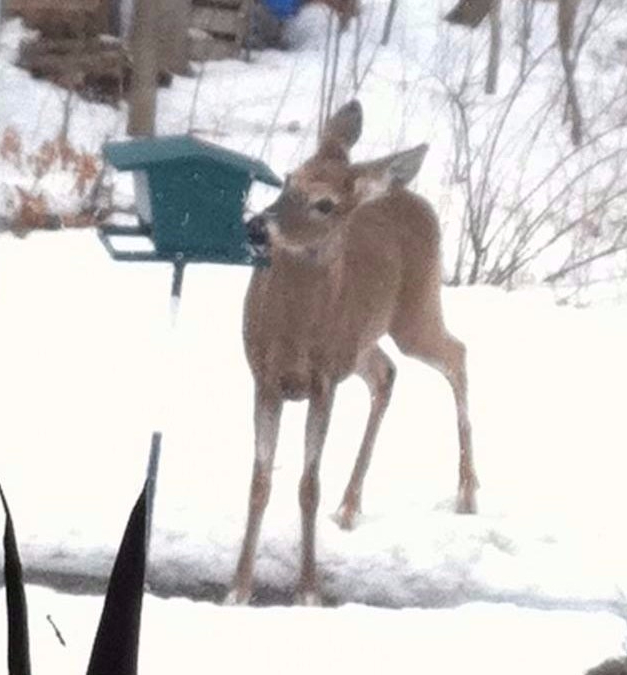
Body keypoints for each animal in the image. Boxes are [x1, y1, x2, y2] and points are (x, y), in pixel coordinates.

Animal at [226, 100, 478, 606]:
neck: (293, 332)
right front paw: (238, 589)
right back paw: (349, 505)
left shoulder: (323, 383)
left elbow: (308, 485)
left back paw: (466, 492)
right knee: (386, 372)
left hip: (415, 308)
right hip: (363, 338)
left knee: (456, 354)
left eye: (325, 204)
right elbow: (260, 482)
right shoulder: (264, 378)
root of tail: (408, 195)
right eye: (287, 178)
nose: (257, 227)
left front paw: (308, 591)